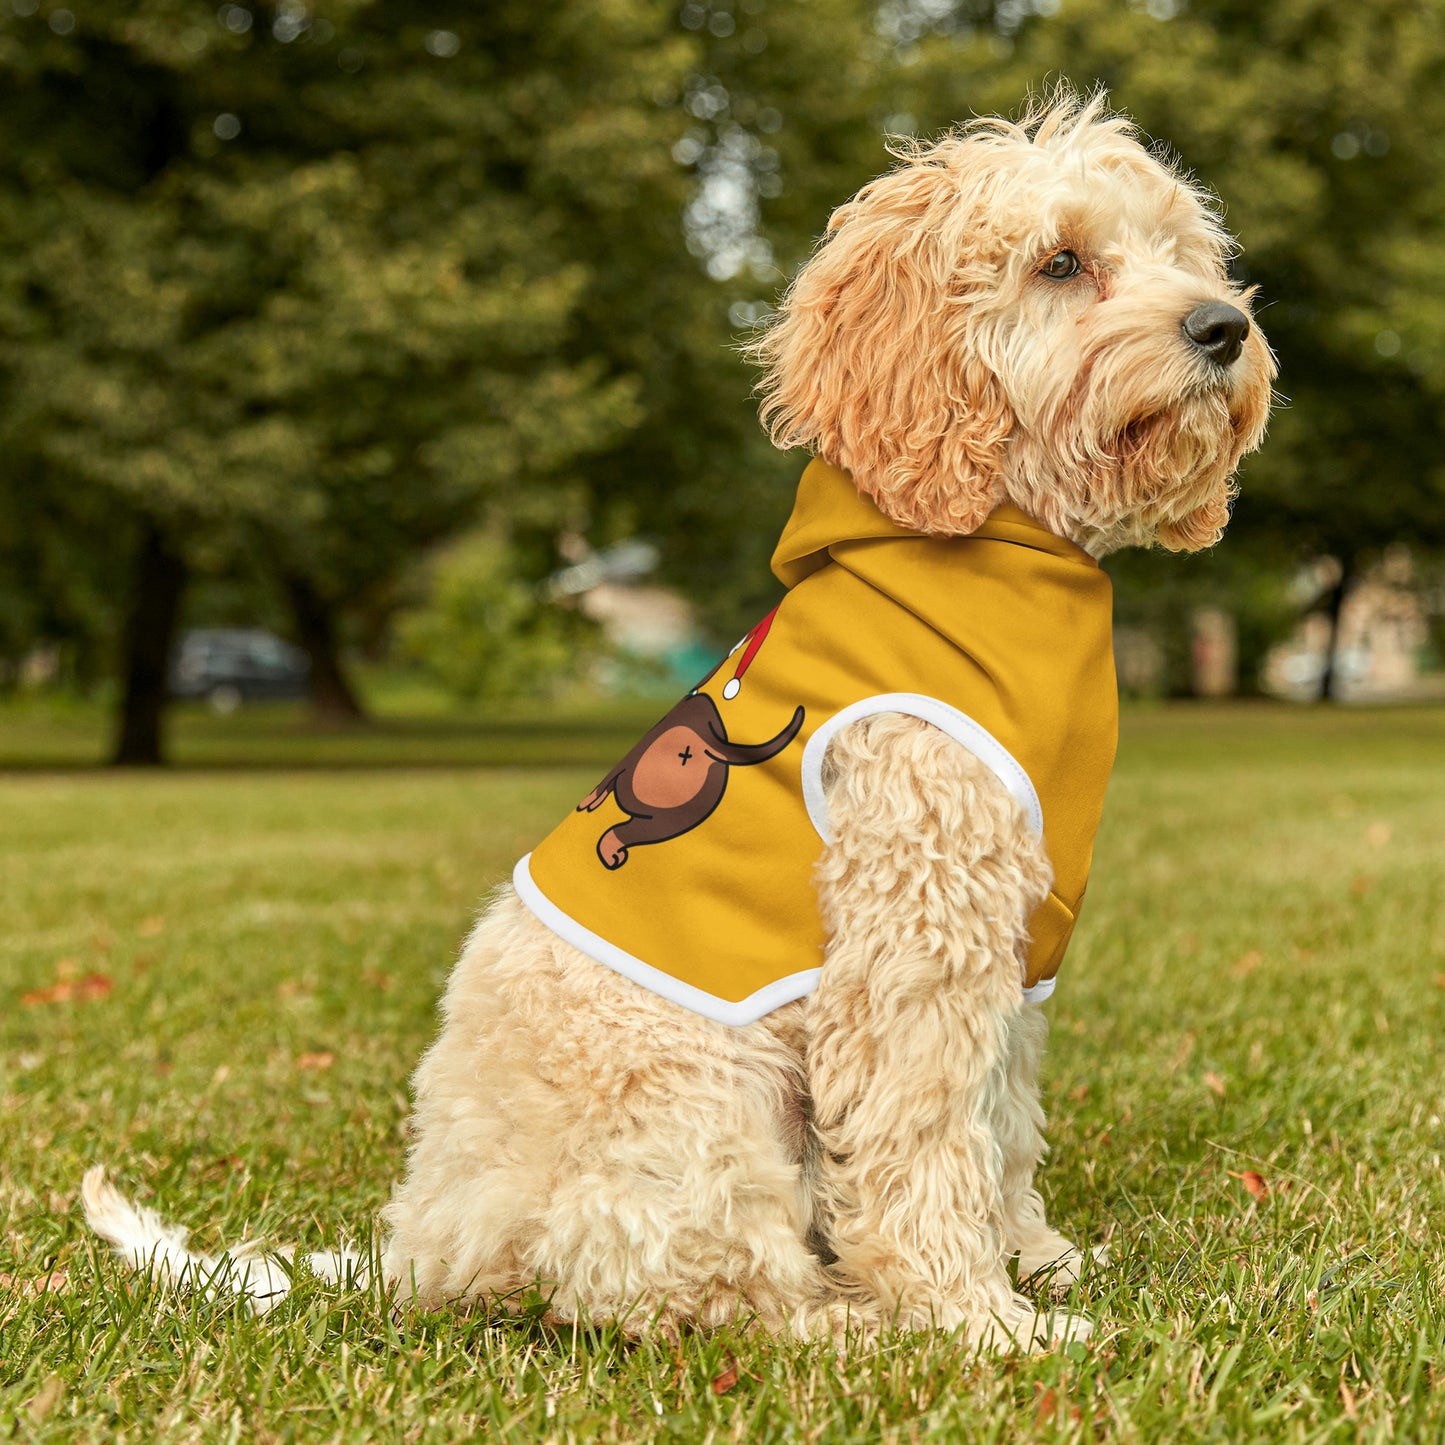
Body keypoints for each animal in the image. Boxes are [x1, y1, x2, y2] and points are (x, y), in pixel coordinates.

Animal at [84, 93, 1271, 1352]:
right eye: (1060, 262)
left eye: (1181, 252)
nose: (1222, 327)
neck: (993, 547)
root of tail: (424, 1245)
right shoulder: (913, 936)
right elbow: (923, 1139)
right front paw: (976, 1318)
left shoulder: (1011, 942)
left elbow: (998, 1122)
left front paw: (1034, 1259)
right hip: (704, 1103)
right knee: (699, 1290)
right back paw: (851, 1322)